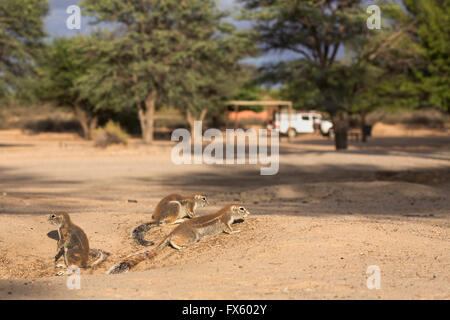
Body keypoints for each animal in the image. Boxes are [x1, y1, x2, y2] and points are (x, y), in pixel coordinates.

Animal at [107, 205, 251, 276]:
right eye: (241, 208)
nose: (248, 213)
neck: (227, 212)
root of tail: (173, 231)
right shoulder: (225, 221)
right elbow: (228, 229)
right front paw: (236, 231)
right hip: (191, 237)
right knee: (173, 241)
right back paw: (179, 247)